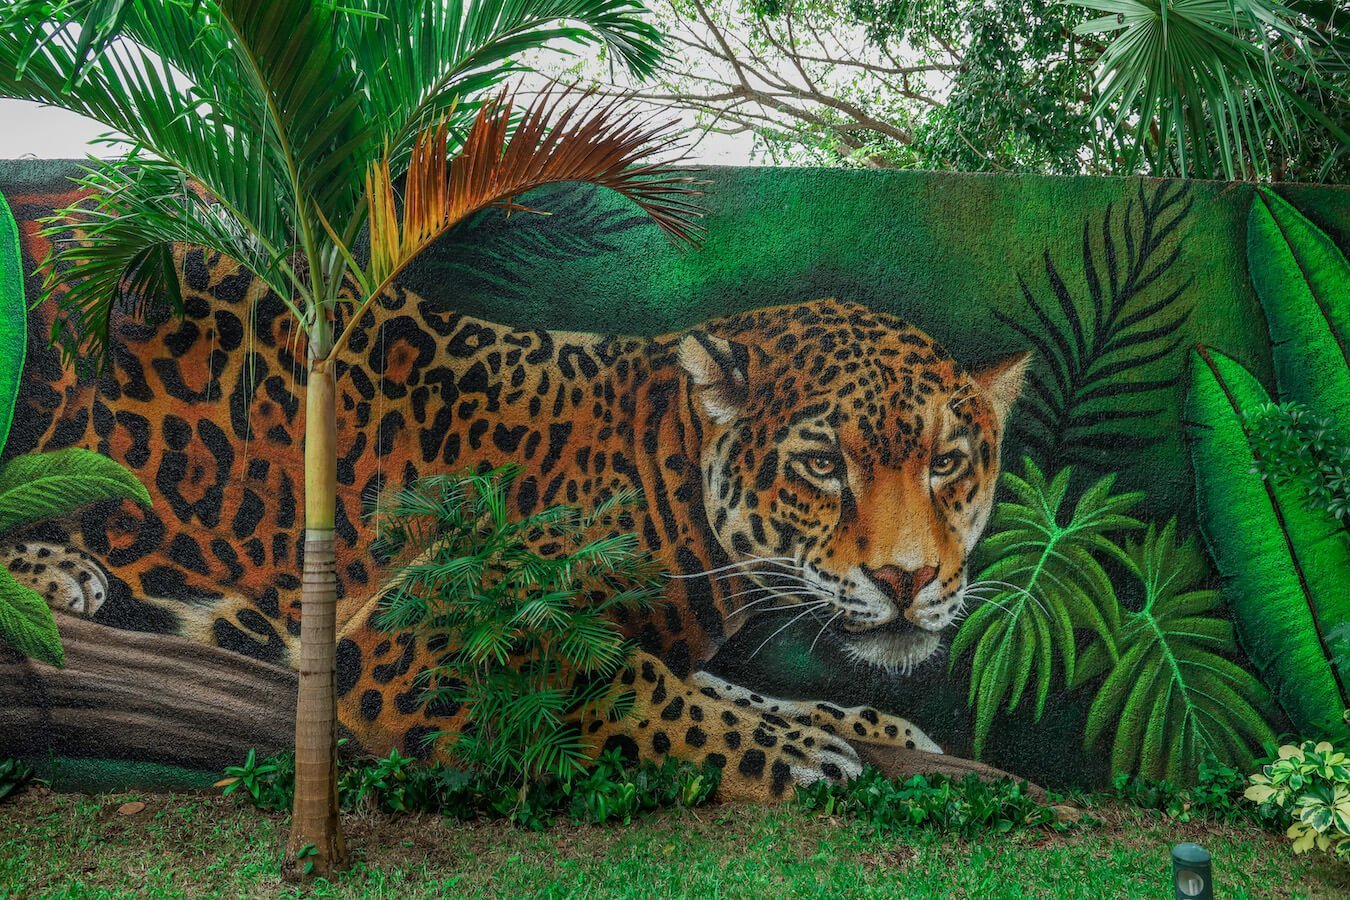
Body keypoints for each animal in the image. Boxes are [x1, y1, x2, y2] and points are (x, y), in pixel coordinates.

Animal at [6, 245, 1028, 800]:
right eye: (822, 466)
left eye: (946, 464)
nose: (908, 581)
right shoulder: (423, 626)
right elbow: (636, 690)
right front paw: (800, 757)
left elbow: (725, 686)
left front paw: (872, 726)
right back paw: (58, 574)